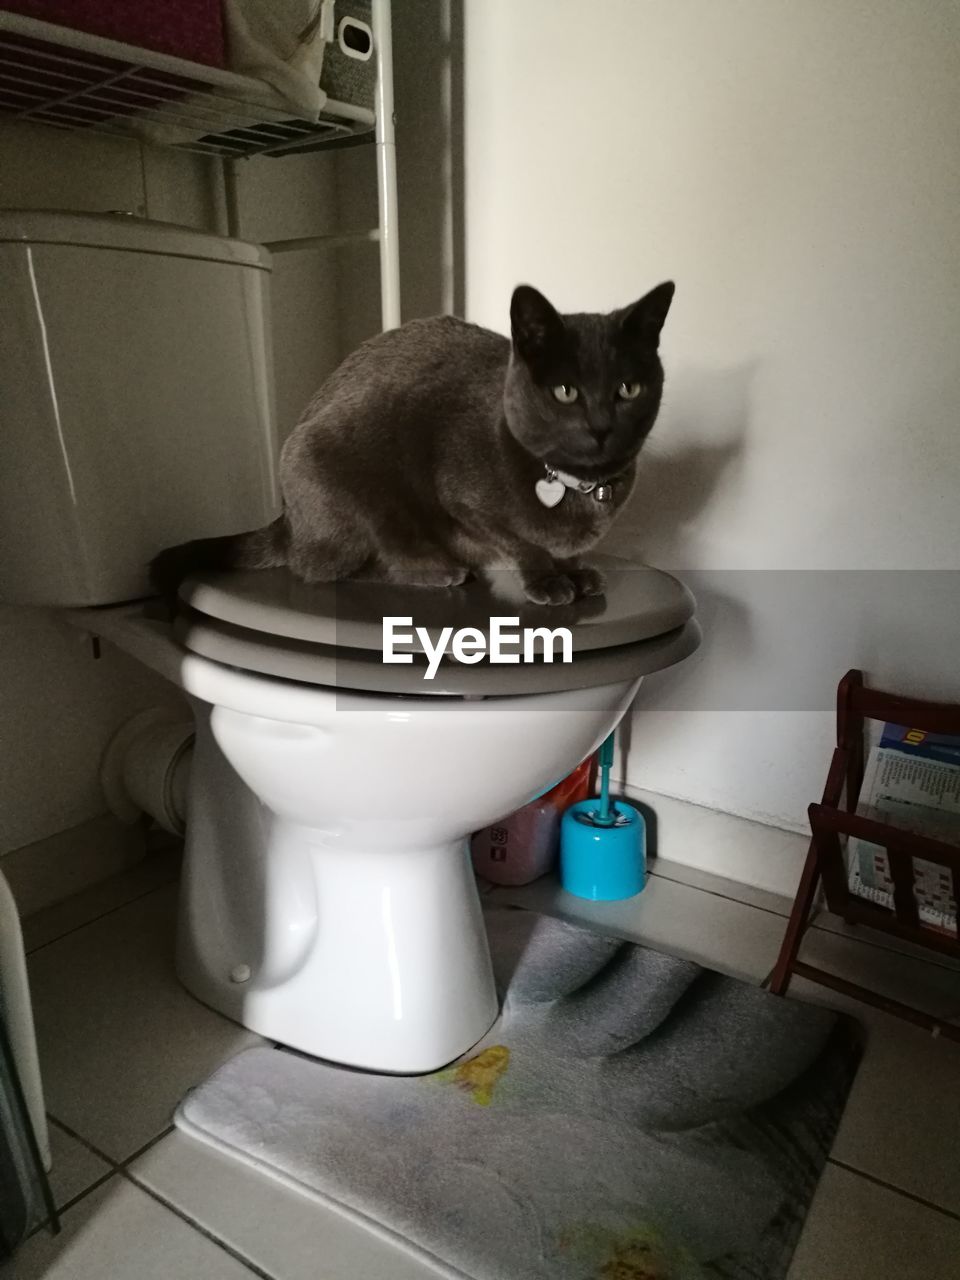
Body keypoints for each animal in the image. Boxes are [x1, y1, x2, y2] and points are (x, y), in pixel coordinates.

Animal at [152, 282, 675, 601]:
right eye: (565, 391)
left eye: (628, 389)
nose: (602, 426)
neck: (577, 489)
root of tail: (288, 520)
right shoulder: (463, 500)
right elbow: (522, 543)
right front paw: (548, 580)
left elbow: (567, 550)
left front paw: (576, 571)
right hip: (347, 486)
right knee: (323, 567)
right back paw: (437, 569)